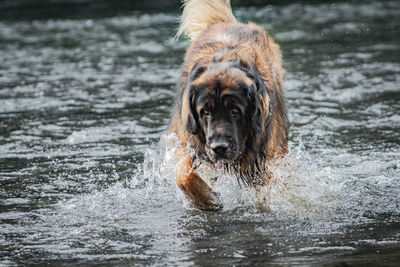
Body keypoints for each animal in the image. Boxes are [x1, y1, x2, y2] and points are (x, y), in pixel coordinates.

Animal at [169, 0, 288, 211]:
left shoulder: (263, 156)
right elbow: (182, 173)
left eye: (235, 111)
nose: (220, 148)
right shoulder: (189, 142)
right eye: (205, 112)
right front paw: (208, 199)